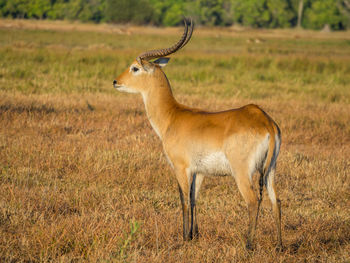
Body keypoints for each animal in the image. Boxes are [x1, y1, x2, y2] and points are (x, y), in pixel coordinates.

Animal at [113, 19, 284, 252]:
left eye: (135, 68)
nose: (115, 81)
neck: (172, 116)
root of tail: (265, 121)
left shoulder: (180, 167)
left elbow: (184, 199)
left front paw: (184, 238)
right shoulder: (199, 171)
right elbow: (194, 199)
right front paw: (194, 235)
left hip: (242, 173)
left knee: (253, 201)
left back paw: (249, 245)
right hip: (270, 171)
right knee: (276, 202)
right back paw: (280, 246)